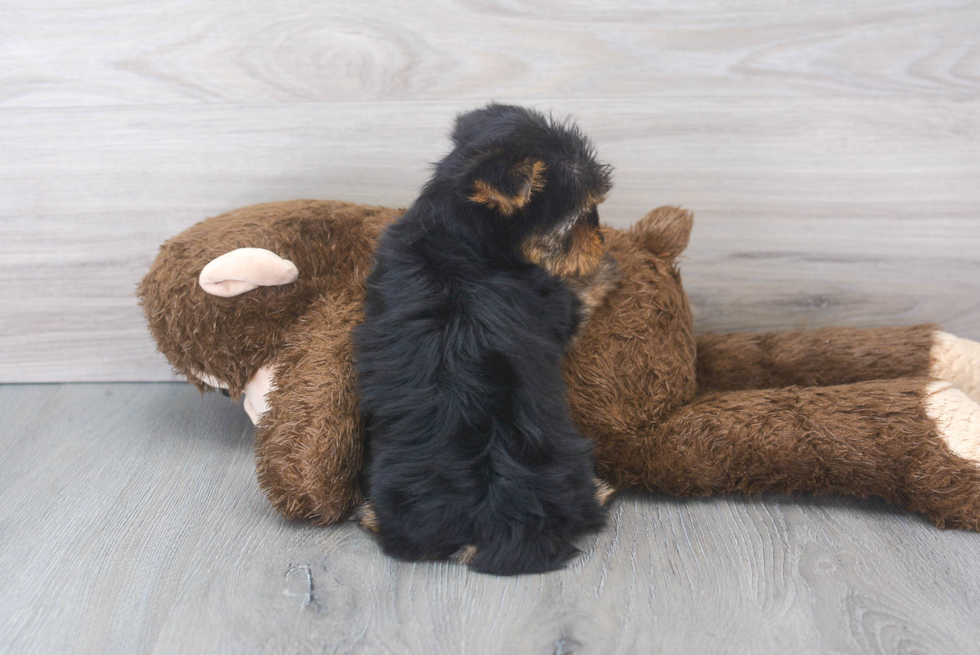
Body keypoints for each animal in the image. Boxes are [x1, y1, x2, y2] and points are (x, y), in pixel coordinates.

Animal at [352, 102, 612, 576]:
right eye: (582, 217)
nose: (600, 238)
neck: (452, 234)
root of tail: (499, 526)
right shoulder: (552, 304)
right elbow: (579, 295)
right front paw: (607, 269)